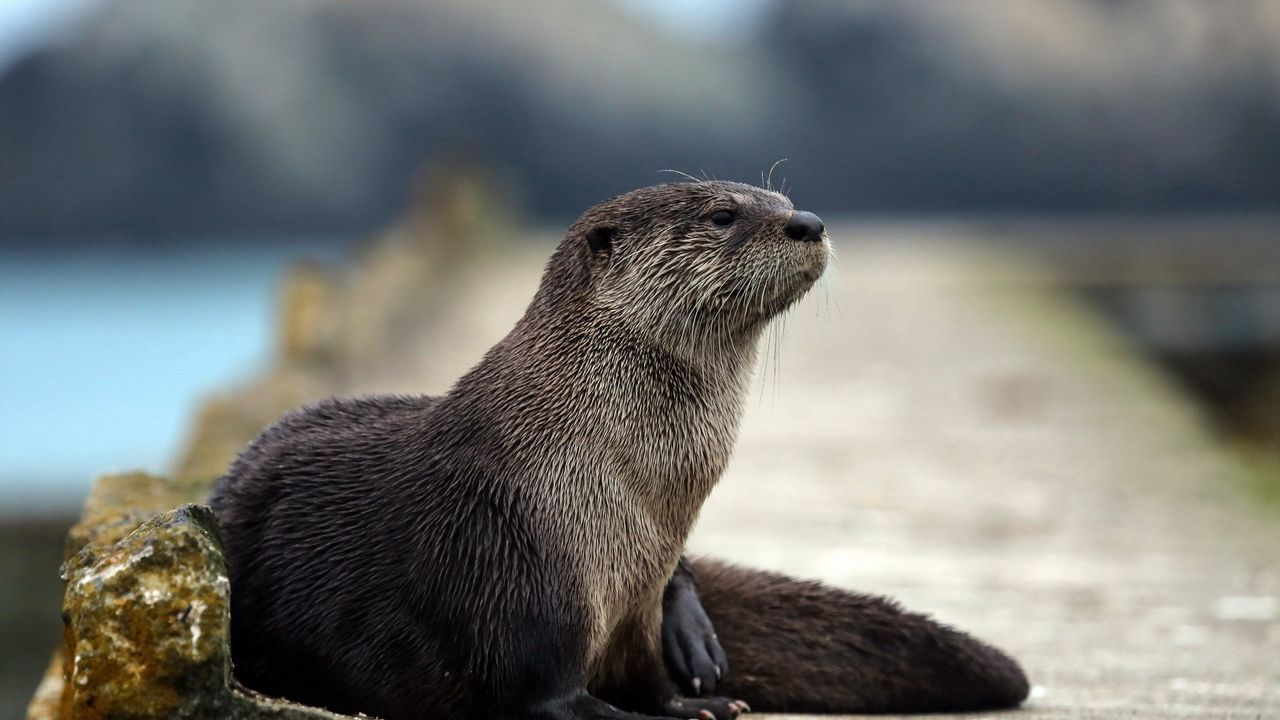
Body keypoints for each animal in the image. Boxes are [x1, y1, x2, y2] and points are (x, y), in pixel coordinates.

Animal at [212, 181, 1029, 717]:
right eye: (724, 214)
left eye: (778, 194)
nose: (808, 220)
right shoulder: (511, 566)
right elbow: (541, 695)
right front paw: (625, 713)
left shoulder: (636, 591)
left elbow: (644, 670)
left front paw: (688, 702)